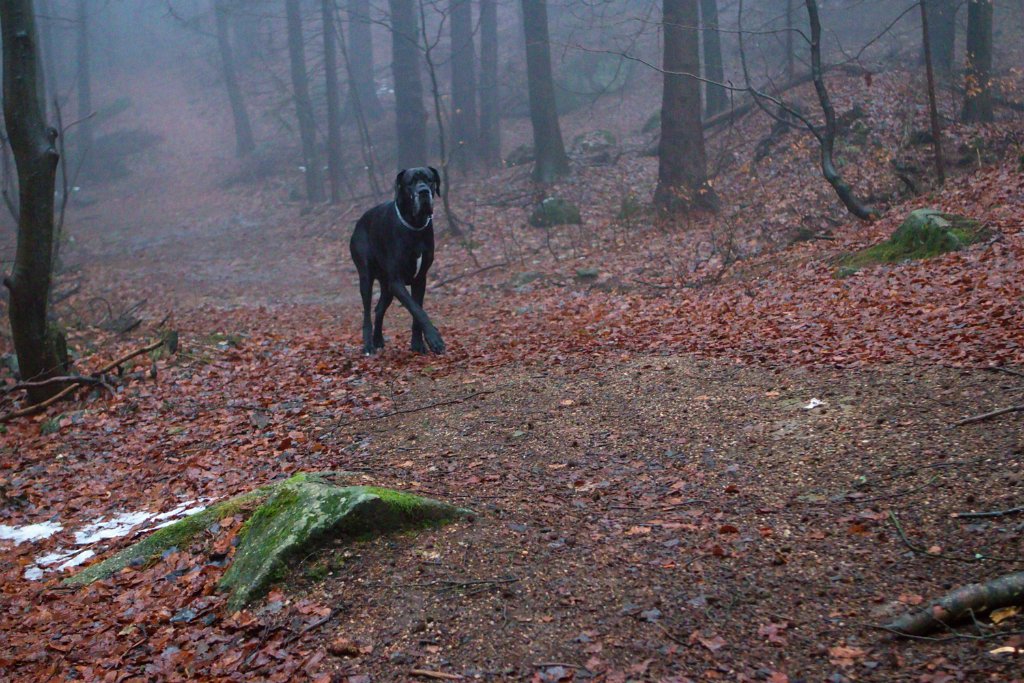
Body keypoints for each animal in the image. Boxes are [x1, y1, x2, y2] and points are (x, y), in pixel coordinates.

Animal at [348, 167, 444, 356]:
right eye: (410, 182)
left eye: (429, 180)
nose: (423, 191)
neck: (414, 225)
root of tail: (359, 221)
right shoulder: (397, 282)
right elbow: (417, 310)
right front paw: (434, 338)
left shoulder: (419, 280)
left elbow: (417, 310)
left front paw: (418, 344)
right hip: (366, 276)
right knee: (367, 312)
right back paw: (368, 345)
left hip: (387, 286)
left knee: (379, 308)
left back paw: (378, 339)